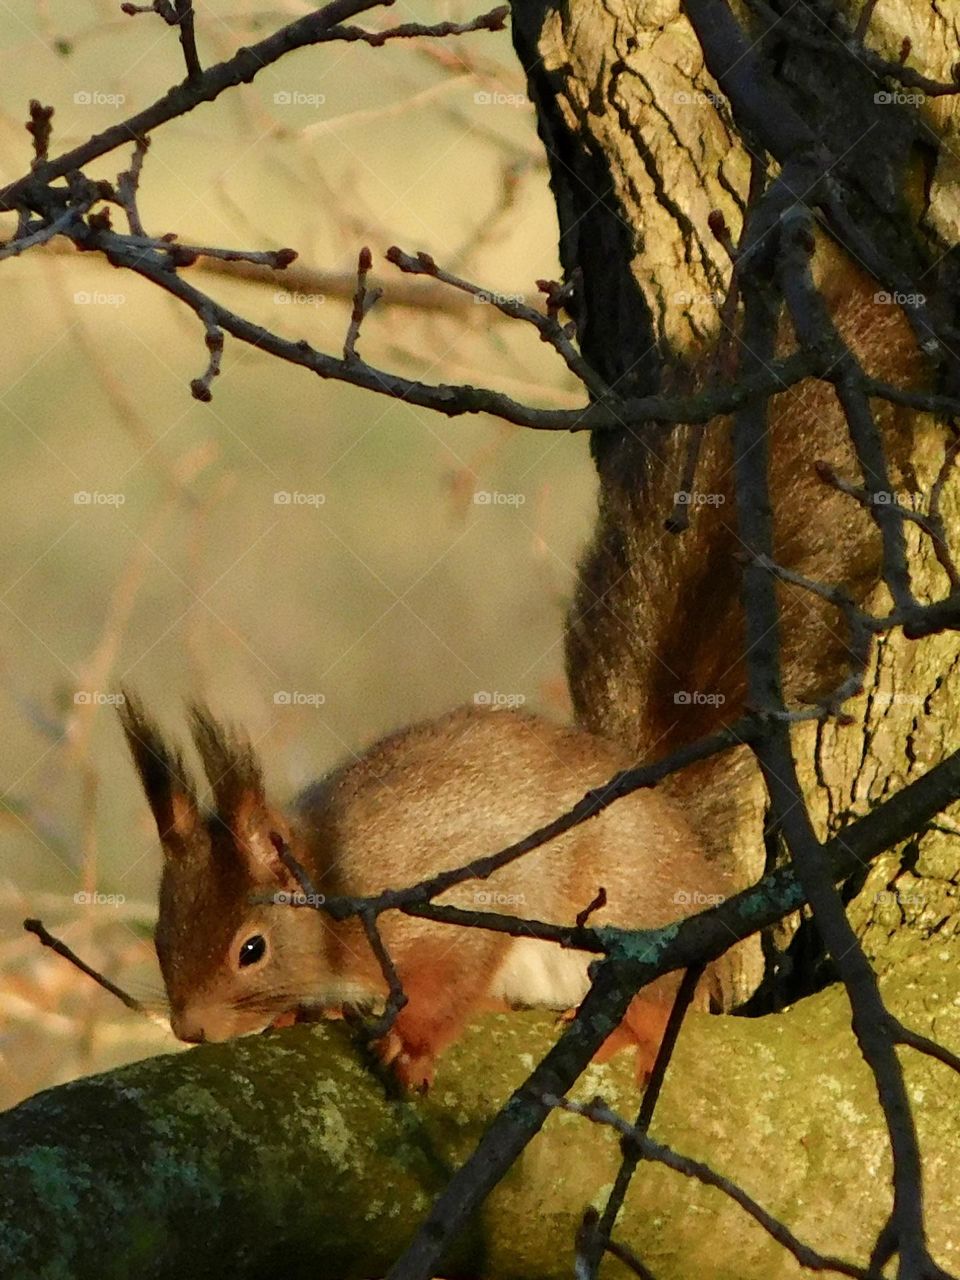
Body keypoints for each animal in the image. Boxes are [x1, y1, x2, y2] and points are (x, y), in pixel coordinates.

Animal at [119, 695, 737, 1090]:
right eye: (161, 937)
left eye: (252, 950)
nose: (190, 1030)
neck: (333, 880)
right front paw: (300, 1014)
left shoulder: (451, 907)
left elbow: (447, 986)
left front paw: (410, 1046)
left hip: (635, 907)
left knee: (660, 994)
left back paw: (628, 1027)